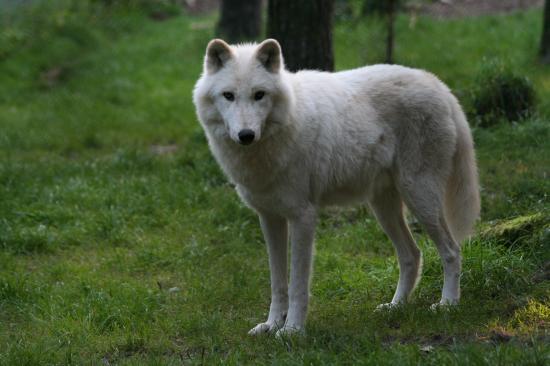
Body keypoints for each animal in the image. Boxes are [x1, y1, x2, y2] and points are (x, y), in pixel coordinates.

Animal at [195, 38, 484, 336]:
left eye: (259, 95)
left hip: (420, 198)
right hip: (385, 208)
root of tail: (439, 84)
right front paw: (271, 324)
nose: (246, 135)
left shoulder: (303, 217)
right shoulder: (270, 218)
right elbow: (278, 283)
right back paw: (395, 307)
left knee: (451, 250)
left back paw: (448, 304)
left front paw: (292, 330)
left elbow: (297, 284)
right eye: (228, 95)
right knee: (412, 255)